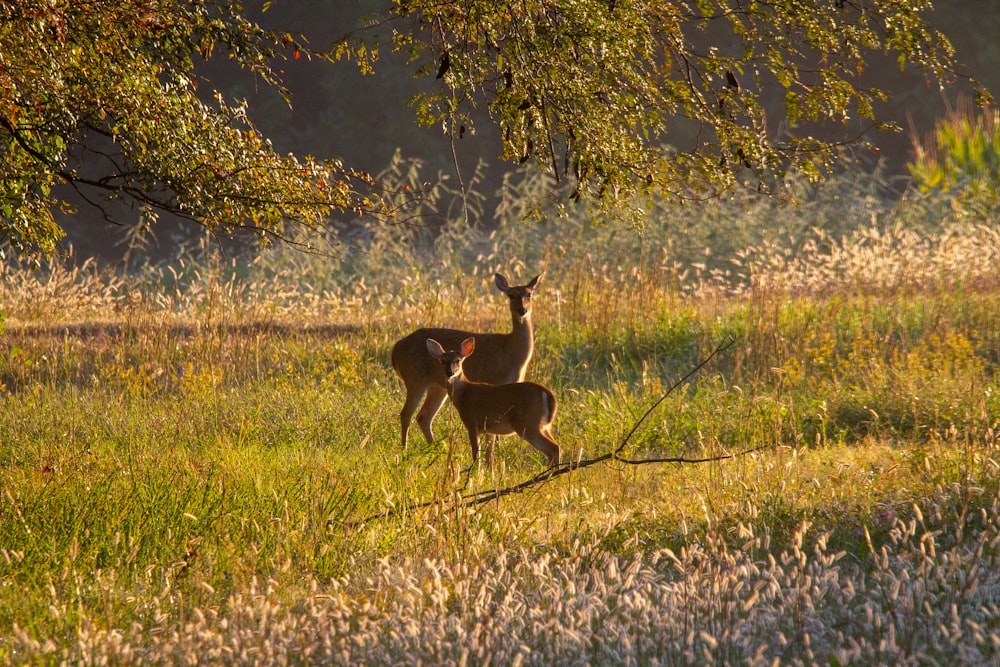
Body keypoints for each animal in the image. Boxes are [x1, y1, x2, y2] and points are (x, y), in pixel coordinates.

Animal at [392, 272, 548, 448]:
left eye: (530, 294)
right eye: (511, 295)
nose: (522, 310)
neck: (512, 352)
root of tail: (395, 348)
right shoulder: (495, 382)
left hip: (437, 386)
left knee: (423, 416)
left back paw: (435, 449)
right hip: (414, 379)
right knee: (406, 414)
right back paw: (405, 450)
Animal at [424, 336, 564, 468]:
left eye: (457, 360)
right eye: (443, 361)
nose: (450, 372)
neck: (463, 394)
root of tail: (547, 394)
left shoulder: (472, 423)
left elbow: (476, 455)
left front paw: (475, 473)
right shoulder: (489, 430)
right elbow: (489, 458)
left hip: (528, 424)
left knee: (553, 448)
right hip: (542, 426)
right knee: (555, 447)